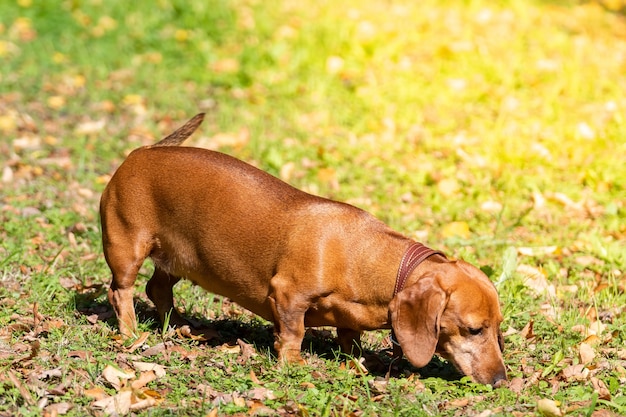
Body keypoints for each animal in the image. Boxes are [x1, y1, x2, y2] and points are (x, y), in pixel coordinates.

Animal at [100, 113, 504, 384]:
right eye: (473, 330)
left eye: (498, 327)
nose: (501, 380)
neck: (369, 258)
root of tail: (141, 152)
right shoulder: (287, 295)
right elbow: (293, 332)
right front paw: (292, 363)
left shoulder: (349, 318)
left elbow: (350, 340)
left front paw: (357, 363)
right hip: (128, 248)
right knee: (121, 291)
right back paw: (131, 332)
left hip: (176, 260)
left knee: (157, 289)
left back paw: (179, 325)